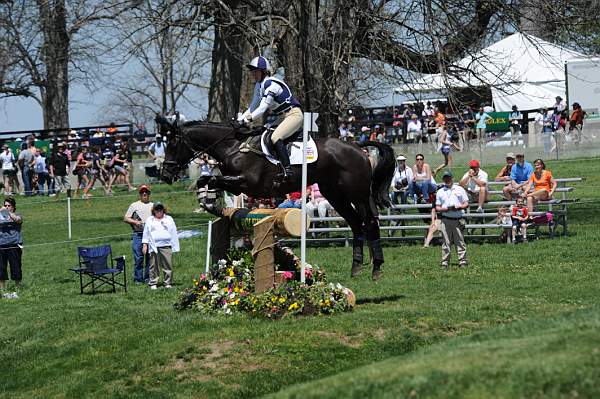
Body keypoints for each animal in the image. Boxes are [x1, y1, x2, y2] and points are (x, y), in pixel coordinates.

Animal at [157, 118, 396, 282]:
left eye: (173, 145)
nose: (166, 175)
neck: (233, 147)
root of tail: (357, 147)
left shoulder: (246, 182)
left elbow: (213, 179)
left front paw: (209, 201)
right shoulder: (235, 183)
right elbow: (206, 180)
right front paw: (208, 201)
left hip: (357, 194)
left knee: (369, 222)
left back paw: (376, 268)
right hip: (335, 195)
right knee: (356, 224)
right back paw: (356, 267)